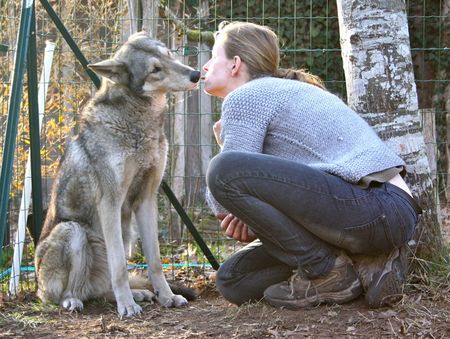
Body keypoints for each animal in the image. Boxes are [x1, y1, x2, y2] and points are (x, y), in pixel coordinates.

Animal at [36, 31, 201, 318]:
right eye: (155, 70)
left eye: (169, 55)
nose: (196, 74)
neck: (140, 126)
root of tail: (37, 287)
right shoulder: (110, 203)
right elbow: (120, 269)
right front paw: (127, 306)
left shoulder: (146, 200)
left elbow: (155, 263)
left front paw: (167, 297)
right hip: (73, 232)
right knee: (74, 292)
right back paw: (76, 301)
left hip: (128, 235)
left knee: (100, 291)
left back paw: (138, 294)